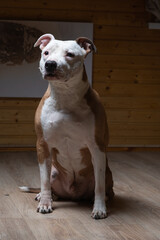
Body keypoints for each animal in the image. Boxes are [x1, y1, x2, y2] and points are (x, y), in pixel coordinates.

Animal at [23, 33, 113, 219]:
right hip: (54, 172)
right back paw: (45, 195)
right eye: (46, 53)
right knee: (51, 185)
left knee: (105, 187)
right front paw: (45, 203)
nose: (50, 64)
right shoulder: (42, 145)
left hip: (106, 171)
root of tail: (73, 194)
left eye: (70, 54)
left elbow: (99, 186)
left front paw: (99, 208)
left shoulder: (97, 147)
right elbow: (44, 180)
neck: (64, 95)